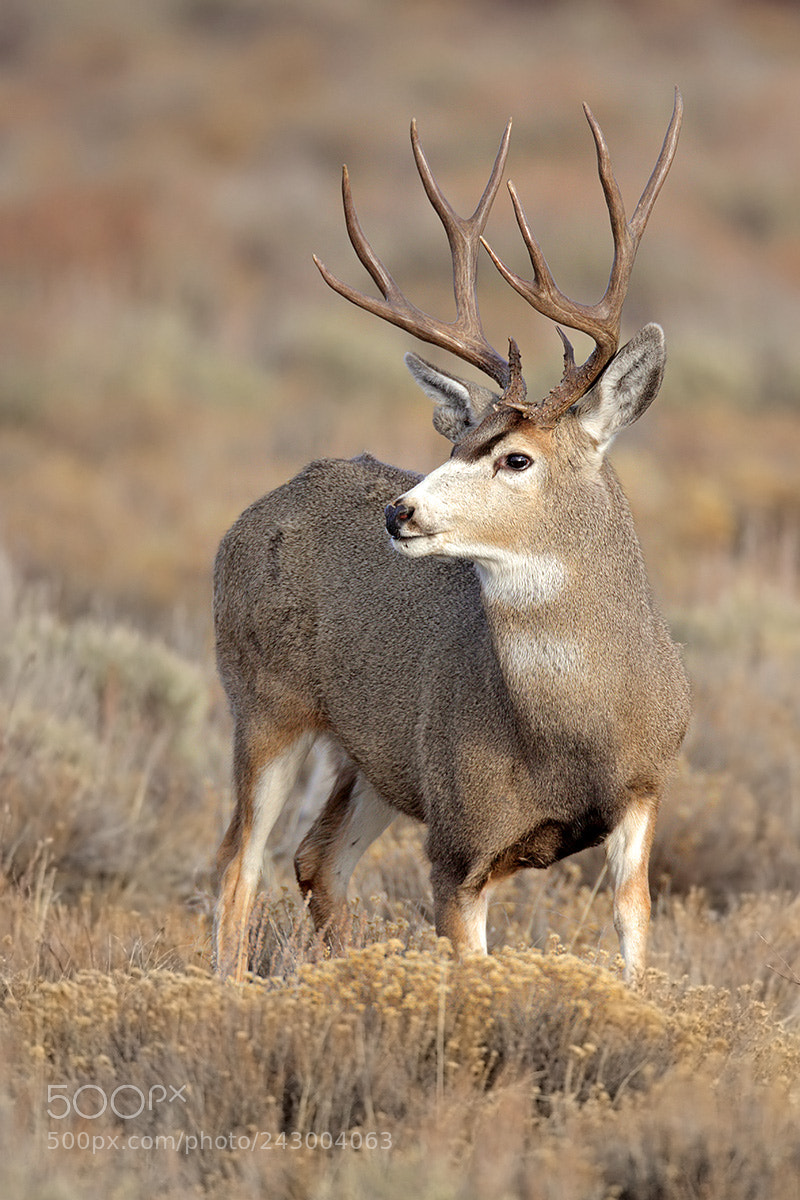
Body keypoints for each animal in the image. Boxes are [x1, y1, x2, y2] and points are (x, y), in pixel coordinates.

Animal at [213, 90, 690, 987]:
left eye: (515, 456)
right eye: (455, 442)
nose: (399, 513)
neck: (573, 737)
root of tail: (253, 512)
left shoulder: (644, 794)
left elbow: (635, 937)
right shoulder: (458, 841)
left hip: (371, 755)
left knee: (315, 859)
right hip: (264, 702)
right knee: (238, 860)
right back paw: (220, 988)